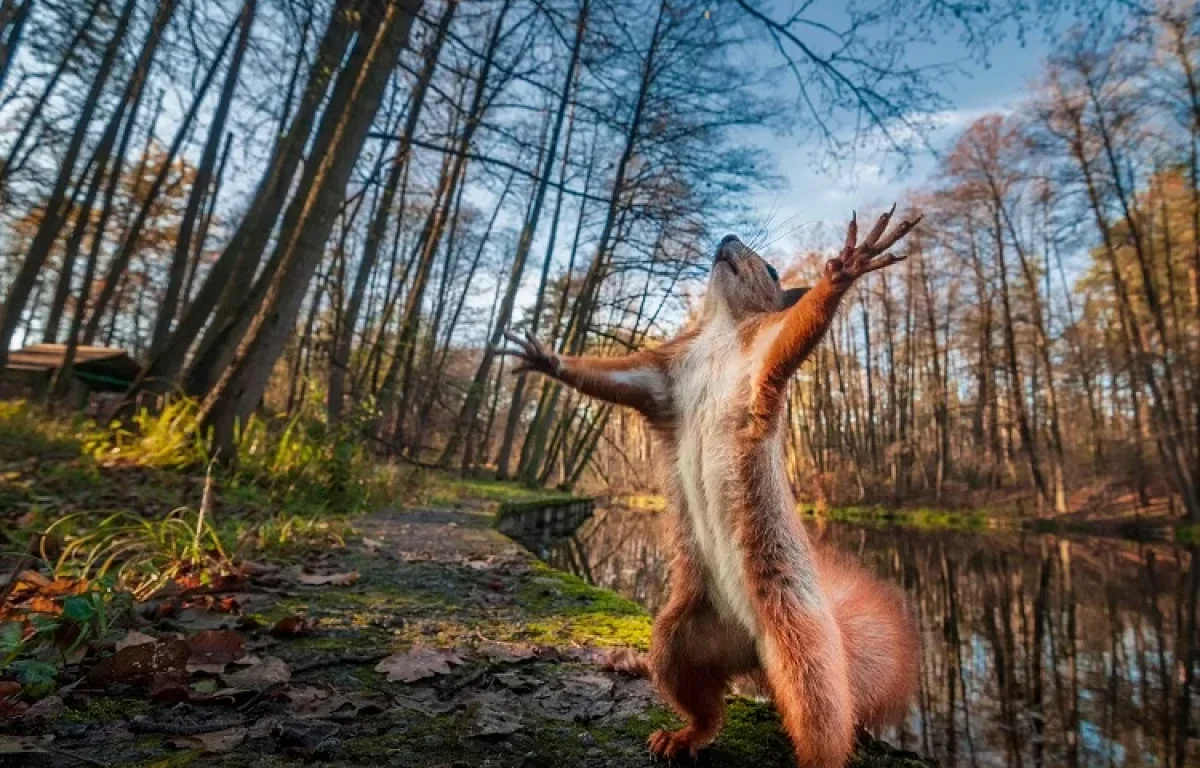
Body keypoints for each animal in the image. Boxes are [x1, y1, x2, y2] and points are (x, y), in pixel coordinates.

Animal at [501, 206, 921, 763]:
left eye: (772, 270)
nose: (727, 237)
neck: (720, 330)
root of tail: (754, 652)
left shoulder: (763, 355)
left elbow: (800, 329)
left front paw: (845, 269)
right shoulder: (662, 380)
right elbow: (610, 378)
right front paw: (547, 359)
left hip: (804, 650)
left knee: (822, 722)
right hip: (680, 638)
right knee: (706, 708)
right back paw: (681, 737)